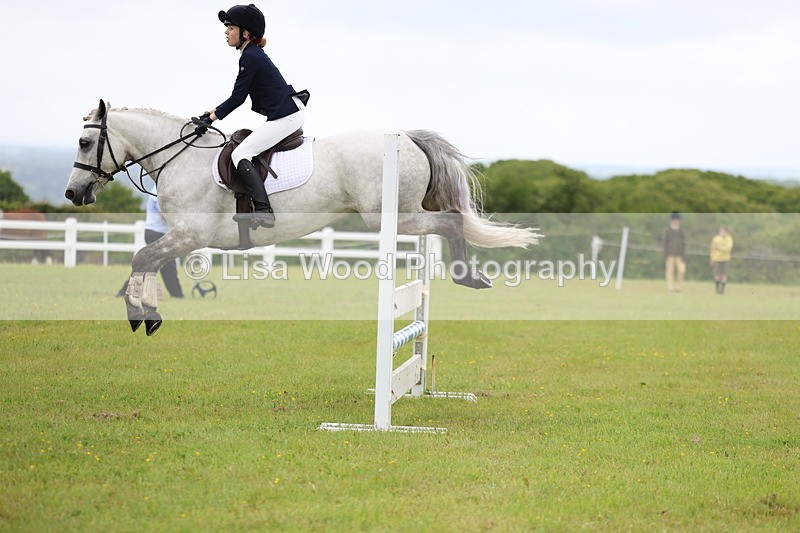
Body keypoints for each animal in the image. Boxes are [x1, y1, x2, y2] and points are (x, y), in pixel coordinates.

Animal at [65, 99, 540, 335]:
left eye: (86, 143)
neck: (181, 158)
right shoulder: (182, 237)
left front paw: (140, 315)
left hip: (391, 216)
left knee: (451, 222)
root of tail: (407, 137)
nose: (72, 193)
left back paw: (468, 276)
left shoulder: (189, 235)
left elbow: (142, 258)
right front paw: (147, 313)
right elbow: (146, 260)